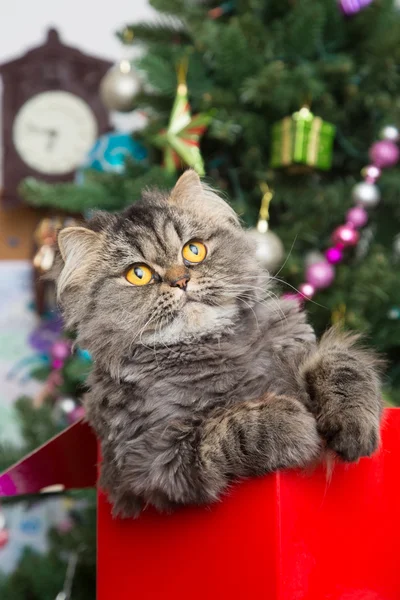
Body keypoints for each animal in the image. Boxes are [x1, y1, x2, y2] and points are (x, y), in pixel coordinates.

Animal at [54, 169, 382, 516]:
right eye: (138, 274)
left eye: (193, 250)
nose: (181, 281)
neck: (213, 346)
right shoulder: (154, 462)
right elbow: (230, 426)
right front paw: (293, 424)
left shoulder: (312, 348)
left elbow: (344, 365)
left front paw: (354, 427)